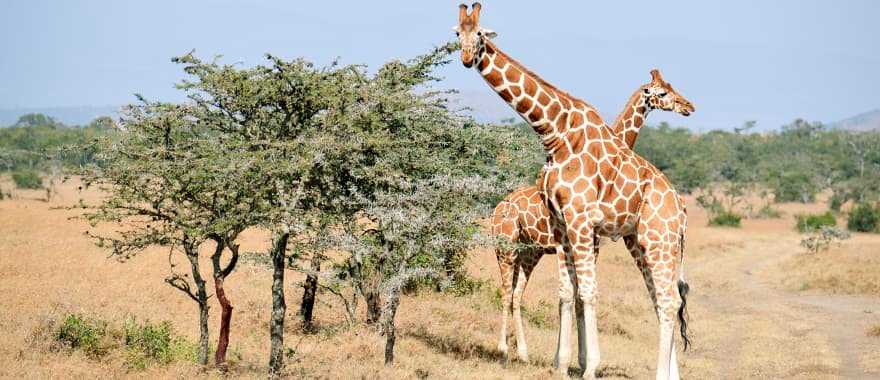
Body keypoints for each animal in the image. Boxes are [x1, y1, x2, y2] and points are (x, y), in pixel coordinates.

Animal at [496, 68, 696, 362]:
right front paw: (573, 358)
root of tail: (497, 209)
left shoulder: (588, 241)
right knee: (506, 292)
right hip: (506, 247)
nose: (688, 106)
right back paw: (503, 349)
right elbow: (574, 294)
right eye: (663, 93)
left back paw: (522, 352)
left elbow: (575, 294)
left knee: (517, 293)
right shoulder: (586, 241)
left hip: (529, 252)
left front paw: (572, 357)